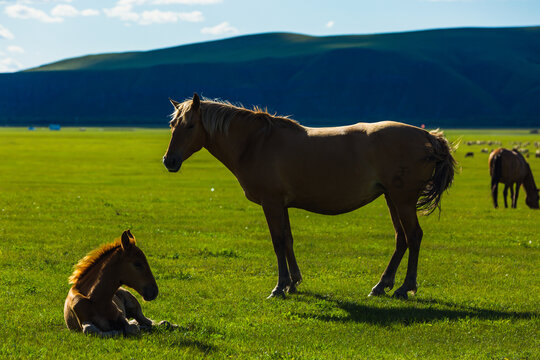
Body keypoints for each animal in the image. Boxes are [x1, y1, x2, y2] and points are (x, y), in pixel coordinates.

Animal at [161, 94, 456, 300]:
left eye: (189, 126)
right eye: (173, 125)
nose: (169, 161)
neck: (256, 143)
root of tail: (428, 136)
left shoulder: (271, 203)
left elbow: (278, 241)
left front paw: (279, 287)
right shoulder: (281, 205)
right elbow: (288, 240)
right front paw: (294, 283)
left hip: (403, 200)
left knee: (414, 236)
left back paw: (405, 287)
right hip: (392, 199)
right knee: (402, 238)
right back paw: (381, 285)